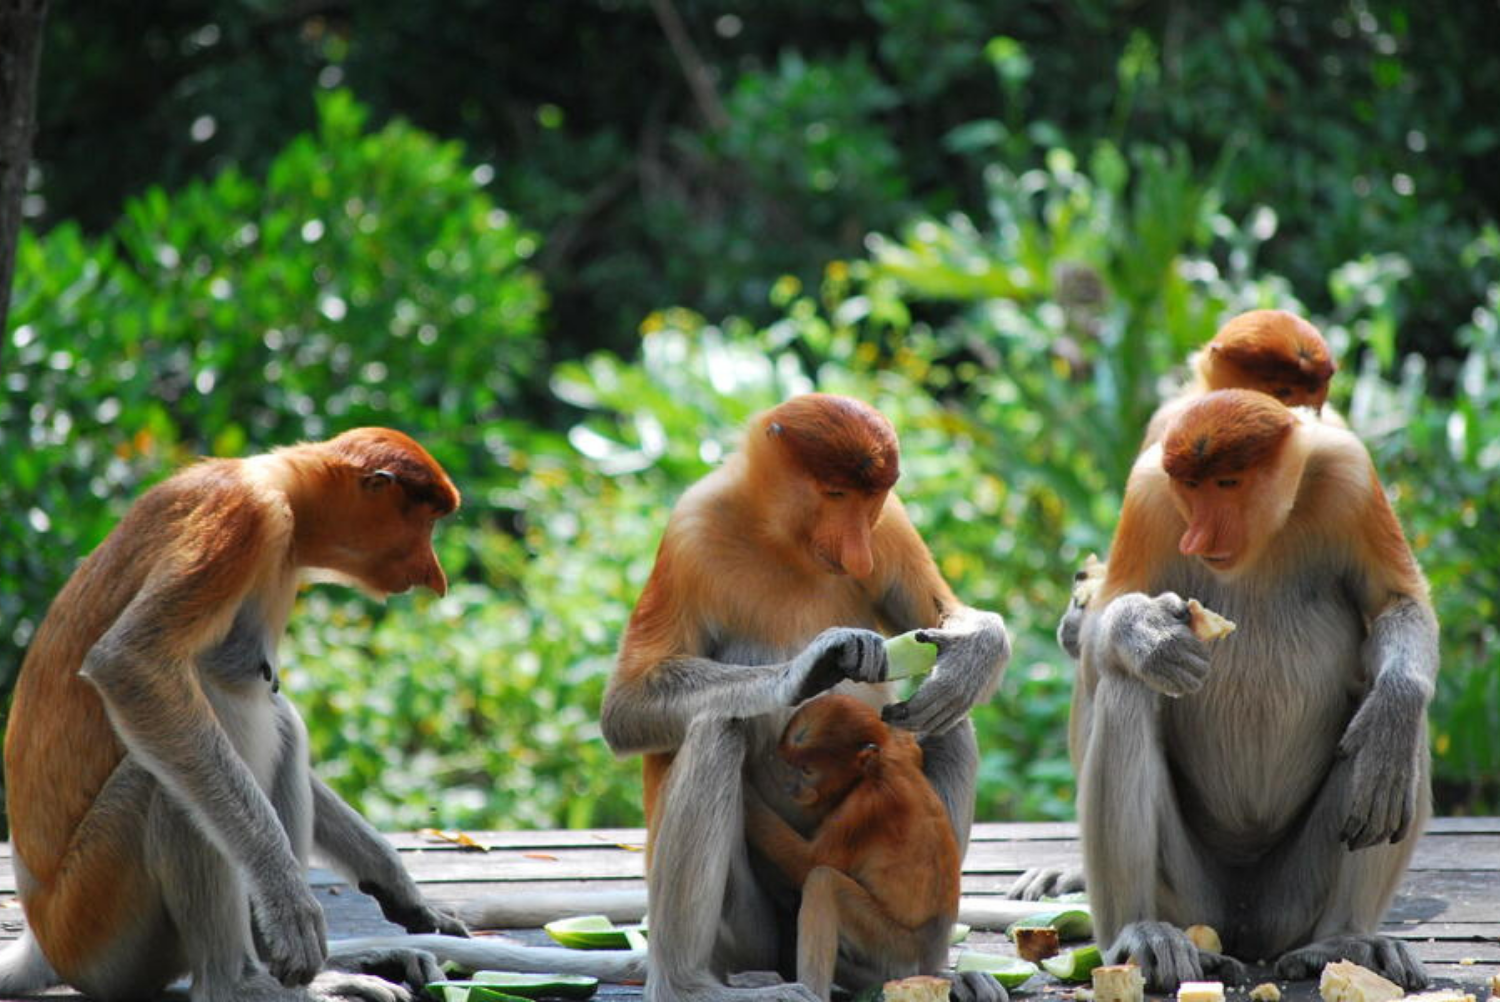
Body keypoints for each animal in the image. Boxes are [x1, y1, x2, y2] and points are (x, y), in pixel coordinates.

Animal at [0, 428, 474, 1002]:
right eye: (427, 521)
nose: (436, 577)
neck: (281, 487)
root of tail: (40, 938)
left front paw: (400, 886)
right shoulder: (243, 518)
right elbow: (130, 663)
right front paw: (290, 904)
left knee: (280, 720)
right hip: (96, 920)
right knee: (173, 774)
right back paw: (244, 982)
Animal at [742, 693, 969, 1002]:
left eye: (807, 770)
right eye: (789, 765)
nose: (791, 787)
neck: (879, 765)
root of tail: (931, 953)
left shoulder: (865, 809)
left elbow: (809, 862)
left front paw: (744, 792)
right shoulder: (898, 749)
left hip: (893, 946)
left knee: (823, 882)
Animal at [1064, 389, 1436, 991]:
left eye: (1228, 483)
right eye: (1190, 487)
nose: (1196, 538)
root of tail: (1243, 923)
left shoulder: (1351, 479)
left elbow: (1396, 602)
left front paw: (1393, 716)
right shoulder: (1149, 498)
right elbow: (1105, 624)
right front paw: (1149, 636)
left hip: (1293, 901)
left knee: (1396, 722)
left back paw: (1347, 940)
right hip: (1189, 895)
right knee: (1127, 689)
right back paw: (1142, 934)